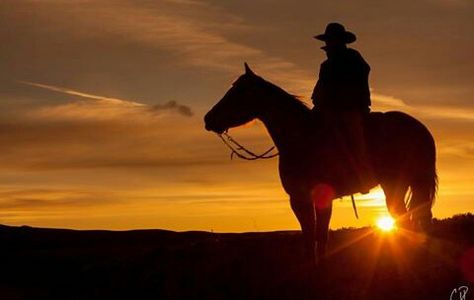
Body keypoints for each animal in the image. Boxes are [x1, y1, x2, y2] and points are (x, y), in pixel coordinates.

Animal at [204, 62, 436, 264]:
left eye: (238, 92)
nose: (208, 119)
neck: (302, 136)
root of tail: (420, 128)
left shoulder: (302, 197)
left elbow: (313, 235)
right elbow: (317, 235)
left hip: (394, 185)